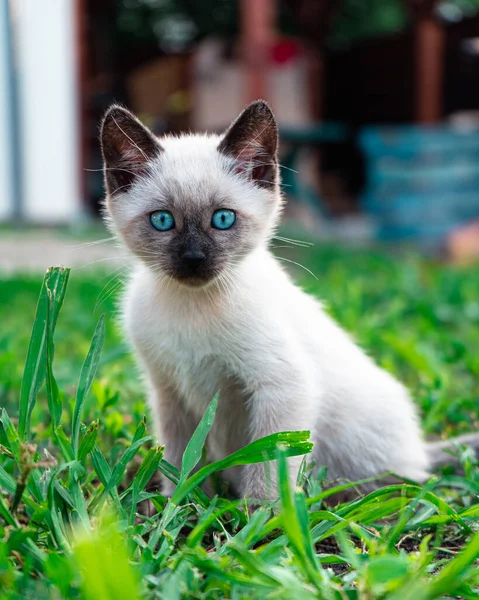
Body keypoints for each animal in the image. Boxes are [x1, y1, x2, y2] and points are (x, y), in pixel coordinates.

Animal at [100, 99, 476, 502]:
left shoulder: (283, 386)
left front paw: (261, 515)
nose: (194, 258)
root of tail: (420, 450)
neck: (191, 304)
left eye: (223, 219)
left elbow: (268, 462)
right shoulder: (168, 392)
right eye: (162, 221)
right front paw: (180, 504)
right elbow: (181, 460)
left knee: (395, 481)